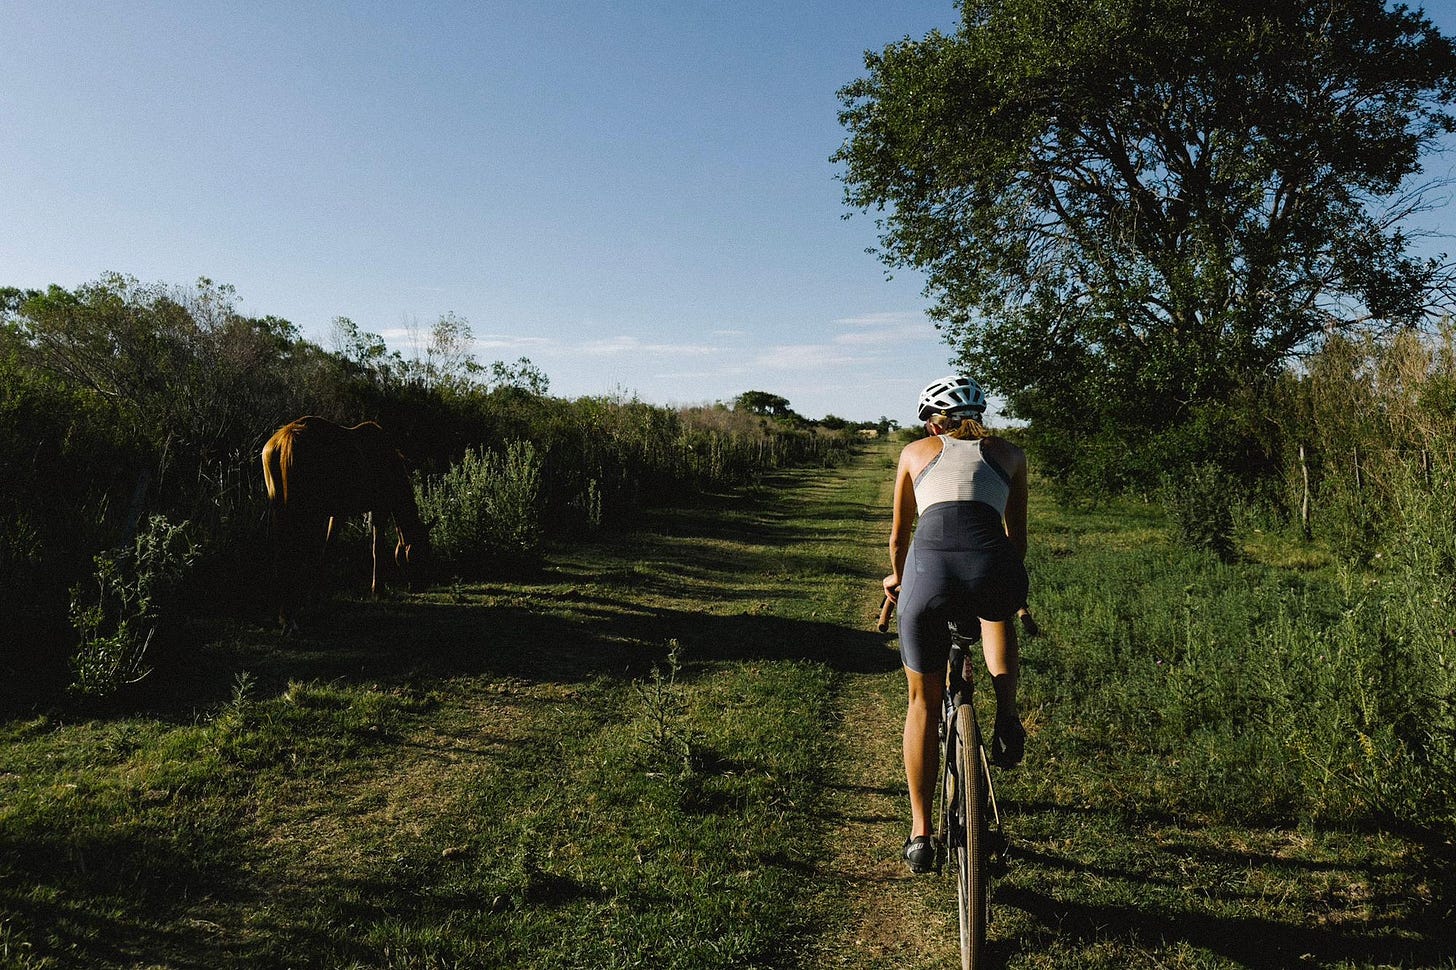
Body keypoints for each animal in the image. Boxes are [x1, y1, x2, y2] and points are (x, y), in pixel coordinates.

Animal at [260, 410, 428, 632]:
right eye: (421, 552)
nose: (421, 585)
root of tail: (285, 440)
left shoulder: (338, 512)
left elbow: (329, 550)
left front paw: (317, 594)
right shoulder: (378, 508)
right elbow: (376, 547)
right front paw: (377, 589)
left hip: (281, 508)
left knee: (282, 553)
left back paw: (284, 615)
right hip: (307, 511)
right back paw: (289, 617)